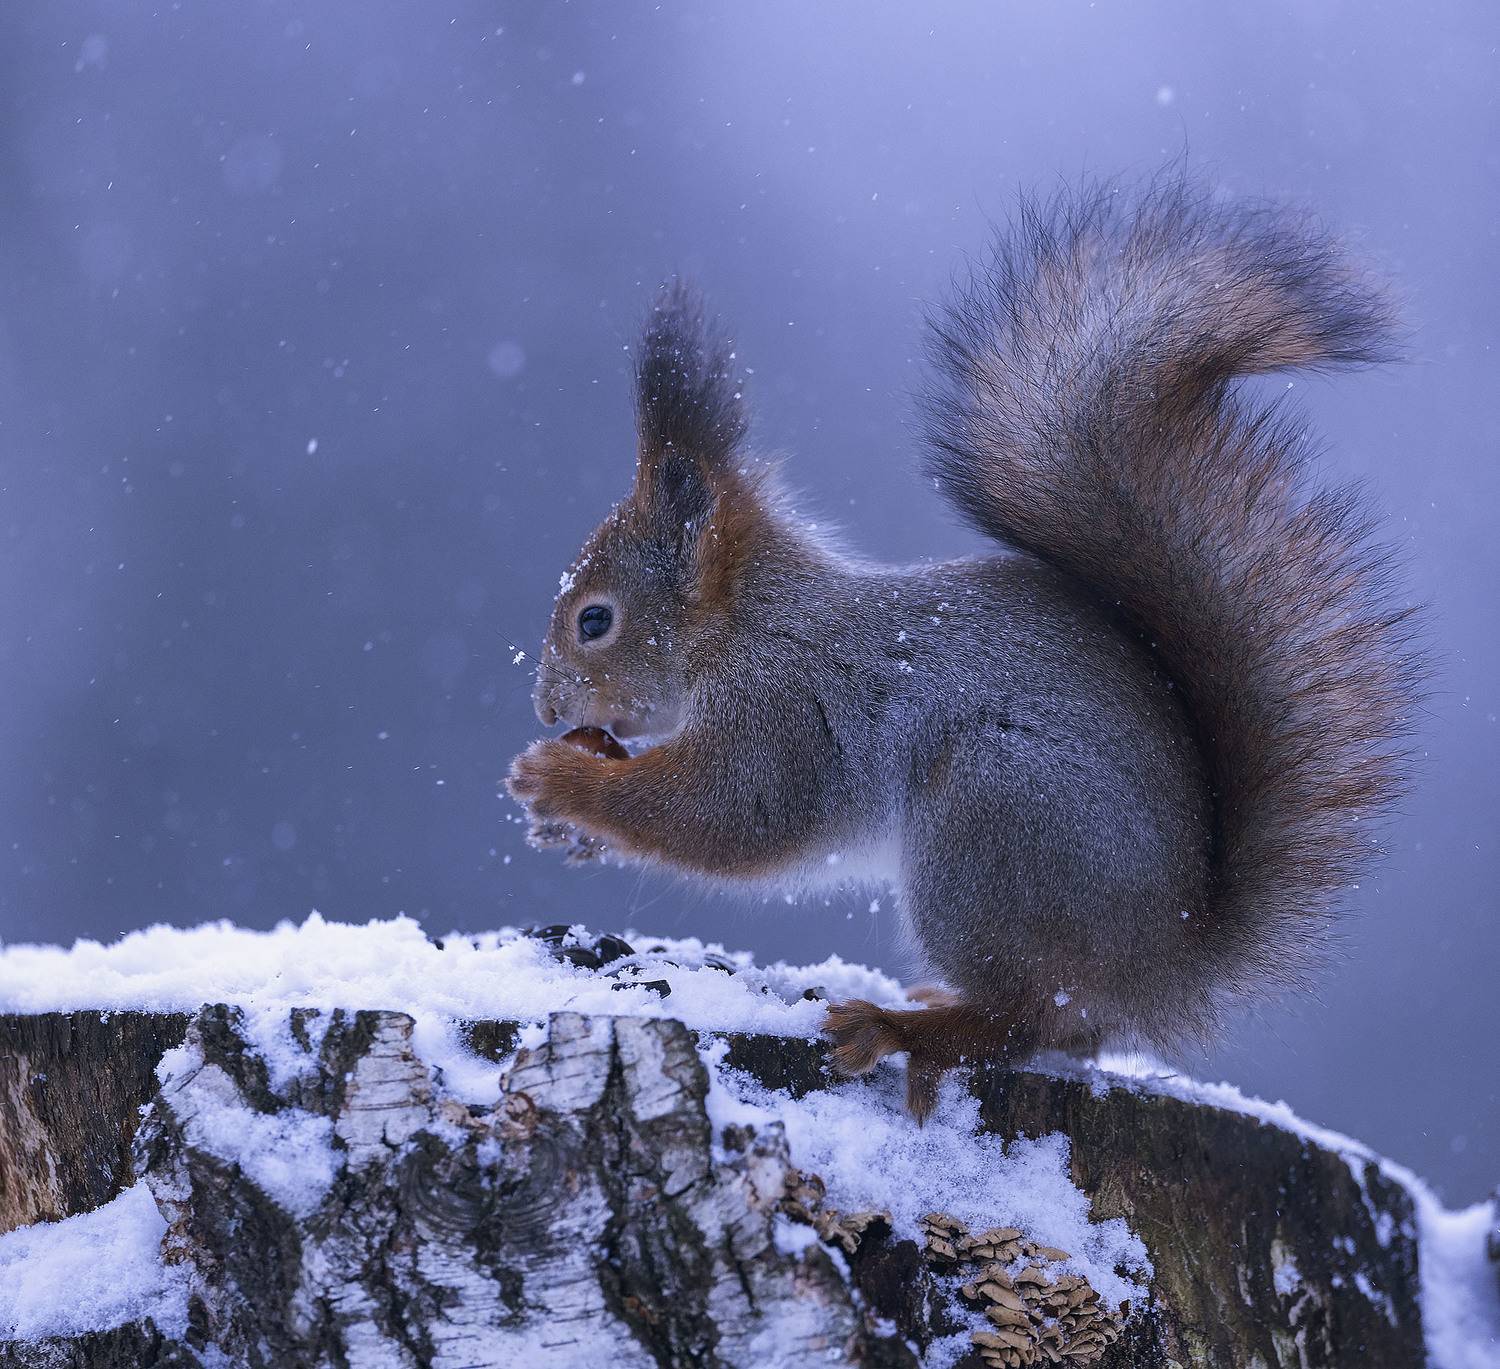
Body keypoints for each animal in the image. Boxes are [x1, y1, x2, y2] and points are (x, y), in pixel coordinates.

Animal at [507, 176, 1423, 1120]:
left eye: (594, 620)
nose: (546, 706)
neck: (747, 624)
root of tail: (1163, 961)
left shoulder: (785, 708)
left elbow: (731, 813)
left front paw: (561, 782)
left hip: (991, 825)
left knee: (1029, 1018)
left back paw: (907, 1029)